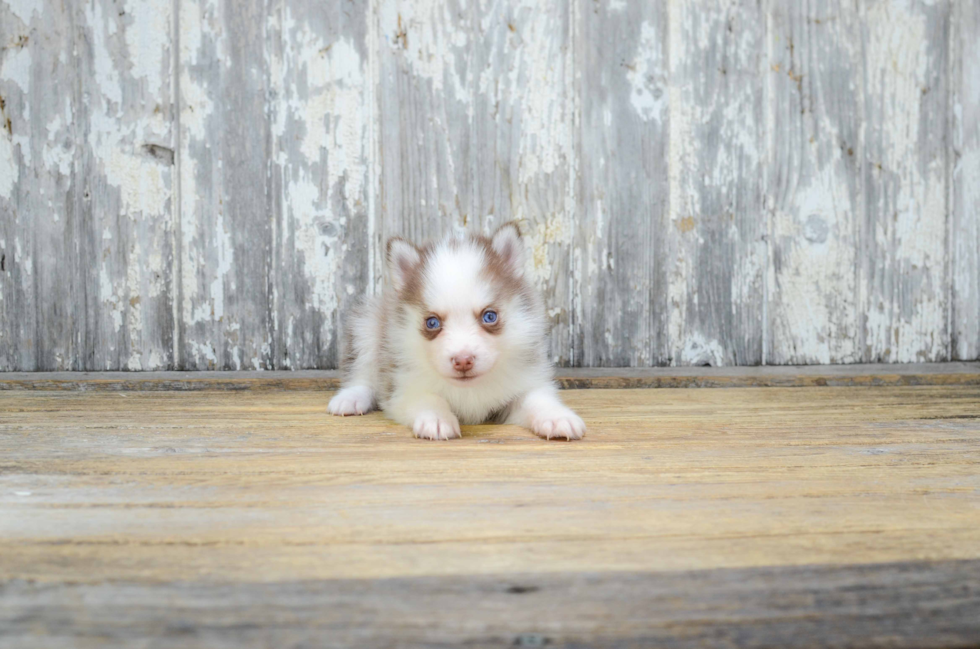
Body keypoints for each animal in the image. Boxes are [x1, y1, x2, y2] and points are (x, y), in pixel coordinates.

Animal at [330, 221, 584, 440]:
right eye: (432, 323)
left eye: (489, 316)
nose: (463, 361)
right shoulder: (402, 387)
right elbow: (428, 398)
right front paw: (437, 419)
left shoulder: (523, 384)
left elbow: (537, 400)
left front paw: (557, 417)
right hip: (366, 326)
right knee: (361, 373)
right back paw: (350, 399)